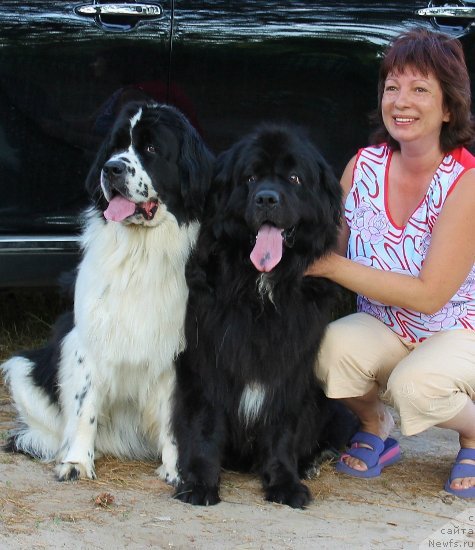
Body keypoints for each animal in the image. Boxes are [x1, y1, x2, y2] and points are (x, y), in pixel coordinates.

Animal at [1, 101, 214, 486]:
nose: (111, 168)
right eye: (115, 147)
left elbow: (172, 417)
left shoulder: (175, 351)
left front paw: (176, 469)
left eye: (151, 148)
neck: (140, 251)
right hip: (23, 368)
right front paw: (76, 462)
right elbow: (84, 406)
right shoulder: (84, 342)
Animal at [173, 124, 356, 508]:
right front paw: (199, 483)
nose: (267, 199)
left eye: (294, 177)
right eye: (251, 177)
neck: (261, 286)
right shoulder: (207, 358)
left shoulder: (291, 364)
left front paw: (285, 482)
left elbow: (282, 427)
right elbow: (205, 423)